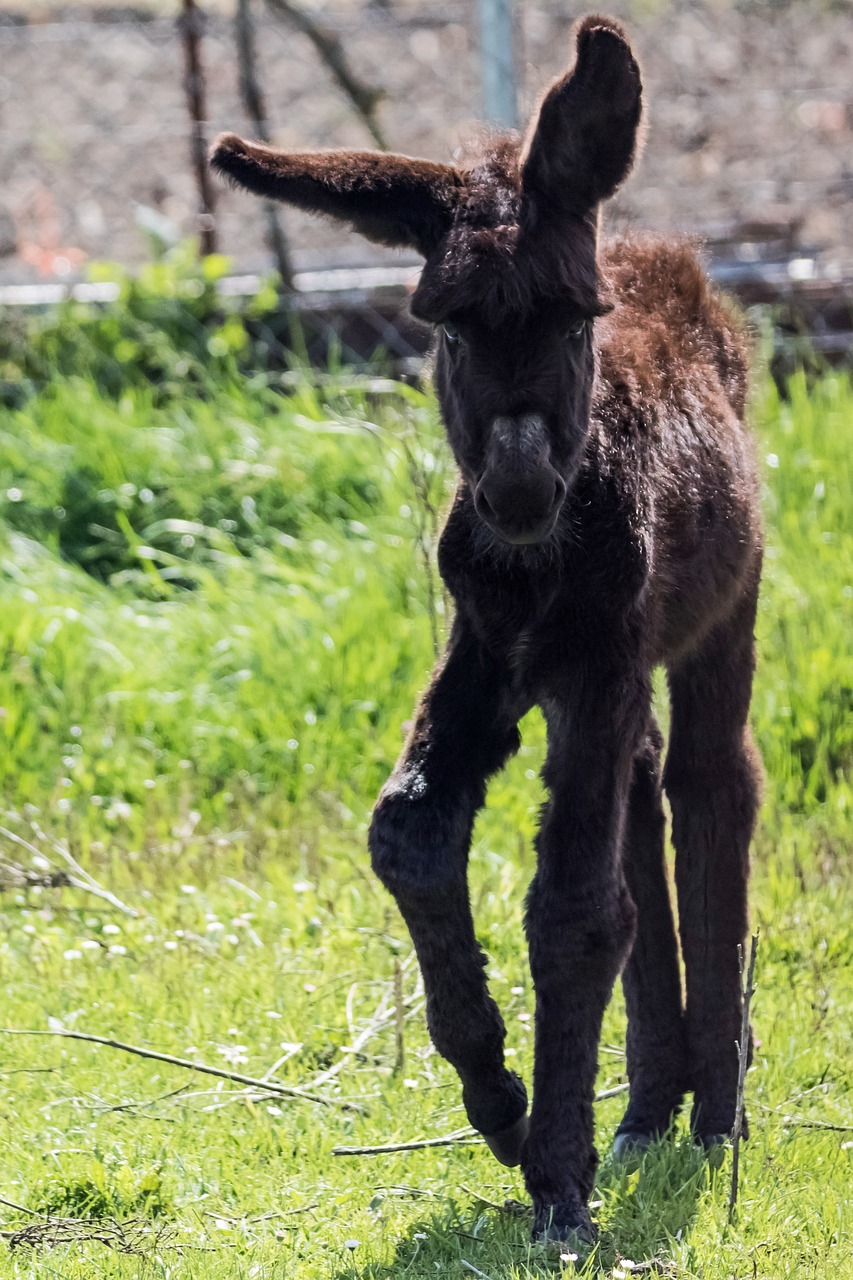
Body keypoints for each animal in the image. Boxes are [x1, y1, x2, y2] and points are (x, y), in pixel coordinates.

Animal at [213, 15, 763, 1244]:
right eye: (449, 330)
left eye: (572, 320)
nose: (515, 493)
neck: (535, 568)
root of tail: (673, 263)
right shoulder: (488, 653)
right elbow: (409, 831)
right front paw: (502, 1104)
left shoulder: (596, 656)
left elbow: (573, 909)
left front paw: (556, 1183)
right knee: (645, 792)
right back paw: (647, 1106)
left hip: (720, 615)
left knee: (712, 784)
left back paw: (715, 1110)